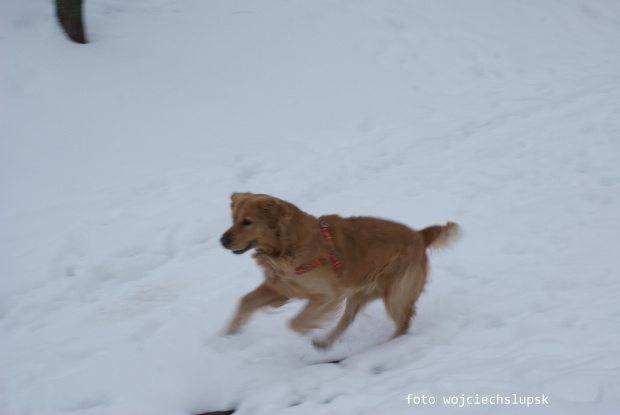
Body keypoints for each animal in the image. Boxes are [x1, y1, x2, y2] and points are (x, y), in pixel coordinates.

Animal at [220, 193, 458, 350]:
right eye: (233, 219)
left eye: (247, 222)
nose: (222, 241)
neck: (286, 245)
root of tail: (420, 235)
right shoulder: (280, 287)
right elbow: (245, 301)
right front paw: (228, 333)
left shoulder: (327, 294)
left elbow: (295, 322)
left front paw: (308, 329)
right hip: (360, 293)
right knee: (348, 320)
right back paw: (325, 342)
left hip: (395, 293)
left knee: (404, 322)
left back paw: (385, 347)